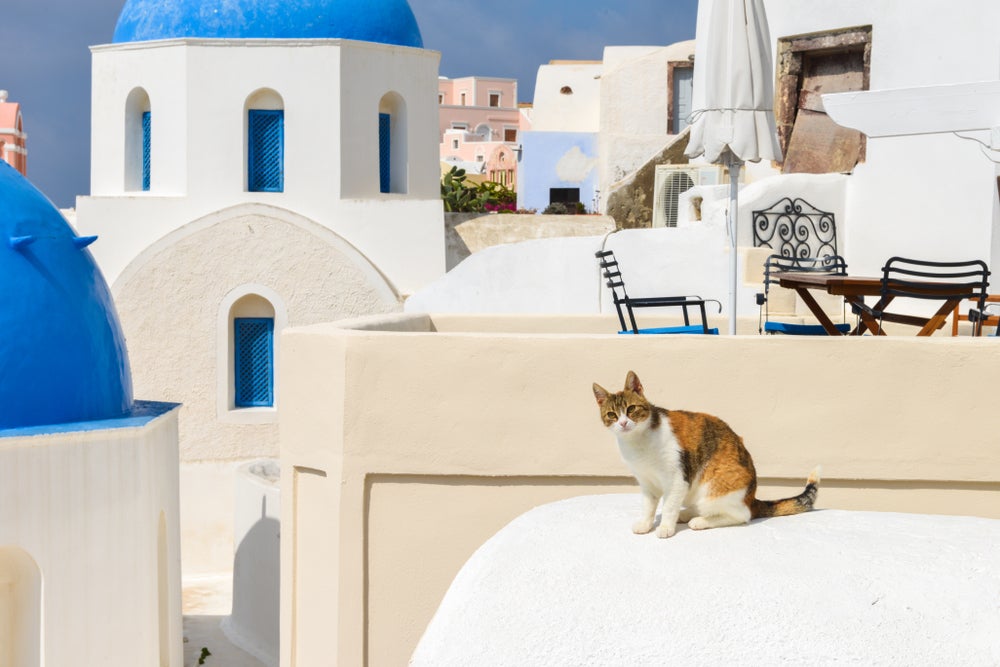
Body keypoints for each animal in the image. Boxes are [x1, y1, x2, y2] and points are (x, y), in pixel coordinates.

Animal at [588, 374, 816, 540]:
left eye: (631, 409)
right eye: (612, 415)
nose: (623, 423)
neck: (637, 442)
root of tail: (752, 497)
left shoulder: (678, 479)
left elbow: (668, 506)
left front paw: (665, 527)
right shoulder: (647, 484)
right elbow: (648, 507)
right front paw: (645, 524)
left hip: (714, 486)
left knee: (742, 515)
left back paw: (699, 521)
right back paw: (687, 513)